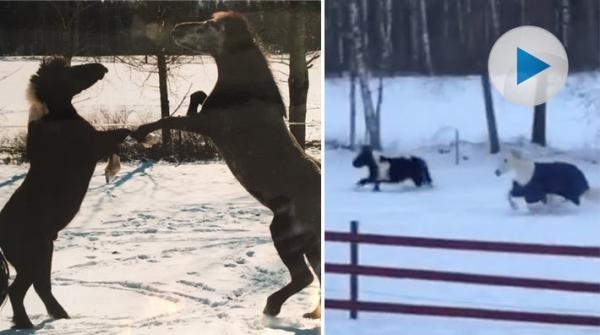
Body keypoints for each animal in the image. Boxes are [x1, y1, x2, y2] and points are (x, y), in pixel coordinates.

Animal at [0, 58, 131, 330]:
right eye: (69, 72)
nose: (101, 67)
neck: (56, 120)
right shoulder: (95, 143)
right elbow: (122, 132)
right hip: (34, 258)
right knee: (19, 291)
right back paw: (28, 324)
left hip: (42, 256)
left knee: (40, 288)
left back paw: (58, 316)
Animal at [129, 11, 322, 320]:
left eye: (209, 26)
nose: (176, 29)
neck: (245, 92)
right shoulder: (203, 121)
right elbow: (195, 98)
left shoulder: (208, 125)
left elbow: (169, 119)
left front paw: (140, 132)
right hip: (311, 246)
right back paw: (311, 314)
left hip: (283, 233)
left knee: (303, 277)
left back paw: (272, 306)